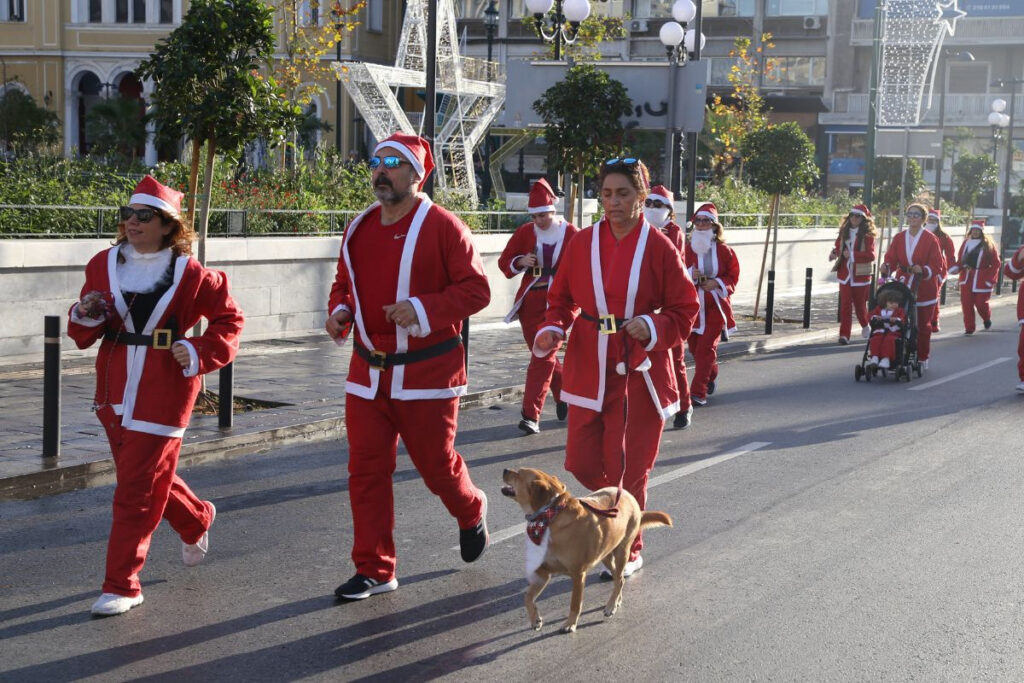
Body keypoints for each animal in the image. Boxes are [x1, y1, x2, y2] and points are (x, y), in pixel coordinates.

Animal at [501, 466, 671, 634]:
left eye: (519, 473)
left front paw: (570, 624)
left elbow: (575, 603)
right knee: (619, 579)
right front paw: (535, 620)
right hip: (605, 555)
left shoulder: (578, 574)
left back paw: (610, 606)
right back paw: (617, 601)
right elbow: (528, 597)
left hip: (622, 551)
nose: (505, 469)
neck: (550, 515)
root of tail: (628, 494)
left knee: (619, 579)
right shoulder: (543, 572)